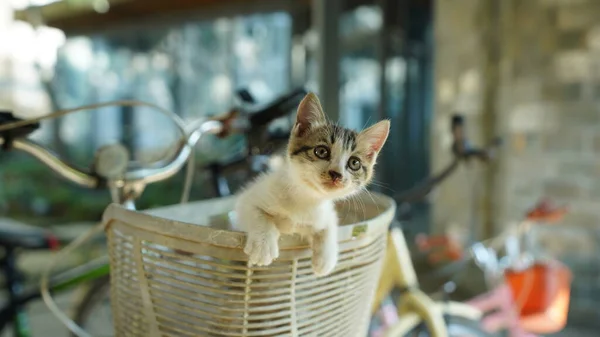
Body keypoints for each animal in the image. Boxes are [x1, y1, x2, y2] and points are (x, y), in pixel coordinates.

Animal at [234, 90, 390, 274]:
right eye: (321, 151)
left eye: (354, 163)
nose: (336, 174)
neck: (306, 197)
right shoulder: (246, 199)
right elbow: (257, 213)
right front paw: (263, 246)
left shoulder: (324, 213)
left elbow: (329, 225)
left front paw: (326, 258)